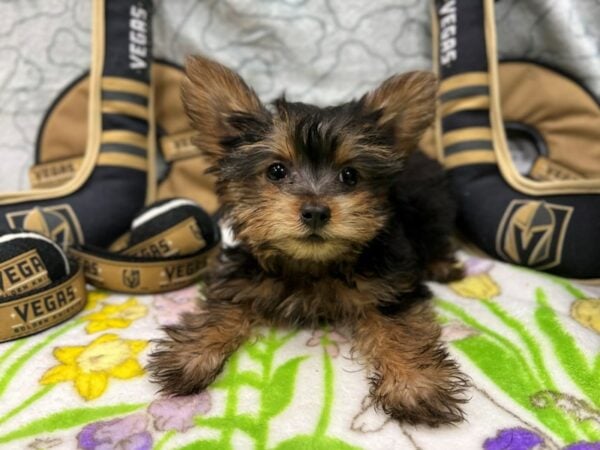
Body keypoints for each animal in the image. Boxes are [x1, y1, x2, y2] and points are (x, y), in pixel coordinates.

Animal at [149, 55, 468, 426]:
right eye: (276, 171)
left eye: (350, 175)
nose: (315, 211)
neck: (311, 264)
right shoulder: (242, 277)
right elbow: (222, 308)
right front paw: (191, 353)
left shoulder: (390, 284)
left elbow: (398, 326)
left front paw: (415, 384)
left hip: (432, 207)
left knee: (435, 235)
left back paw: (442, 265)